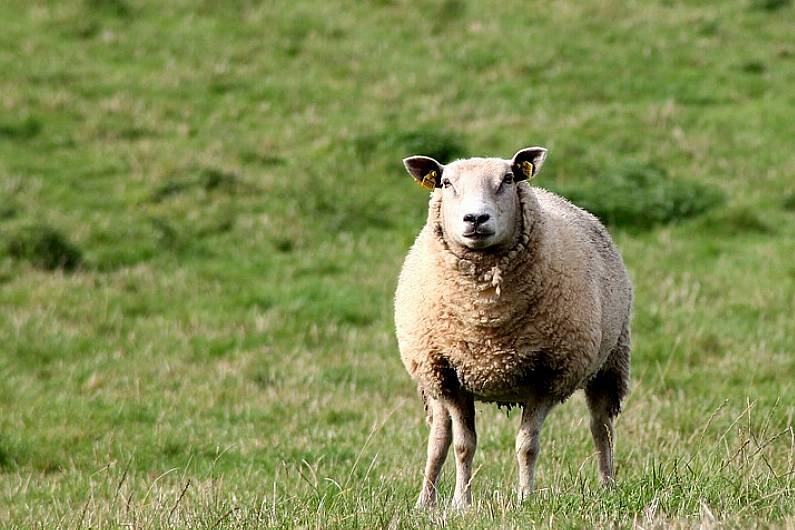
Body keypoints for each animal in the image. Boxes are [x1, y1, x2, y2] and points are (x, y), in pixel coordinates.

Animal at [394, 145, 632, 508]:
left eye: (507, 179)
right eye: (446, 183)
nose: (476, 219)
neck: (486, 318)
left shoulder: (548, 376)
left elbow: (527, 445)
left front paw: (525, 498)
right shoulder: (449, 374)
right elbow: (462, 444)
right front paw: (461, 503)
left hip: (610, 362)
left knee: (601, 427)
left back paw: (608, 487)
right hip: (431, 378)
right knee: (438, 438)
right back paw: (425, 502)